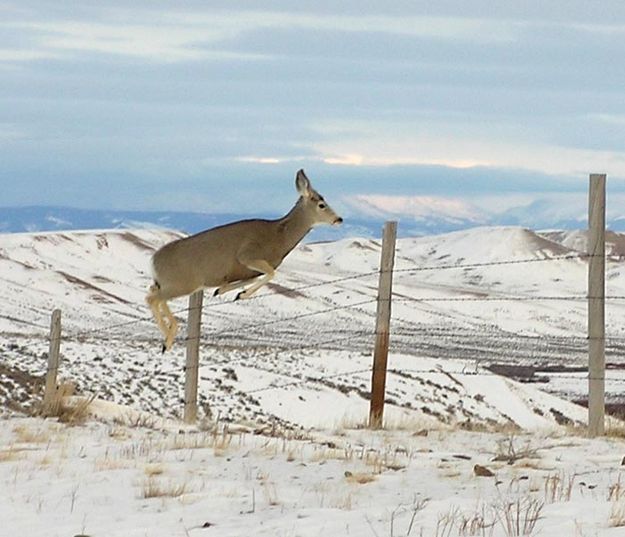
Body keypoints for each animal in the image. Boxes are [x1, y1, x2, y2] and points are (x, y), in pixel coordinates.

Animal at [144, 169, 344, 352]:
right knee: (152, 298)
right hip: (182, 283)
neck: (279, 238)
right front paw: (240, 293)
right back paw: (168, 339)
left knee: (153, 294)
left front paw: (228, 291)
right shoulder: (247, 254)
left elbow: (253, 278)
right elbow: (271, 273)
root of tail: (153, 260)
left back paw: (168, 337)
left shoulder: (249, 269)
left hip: (168, 283)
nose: (339, 219)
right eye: (321, 204)